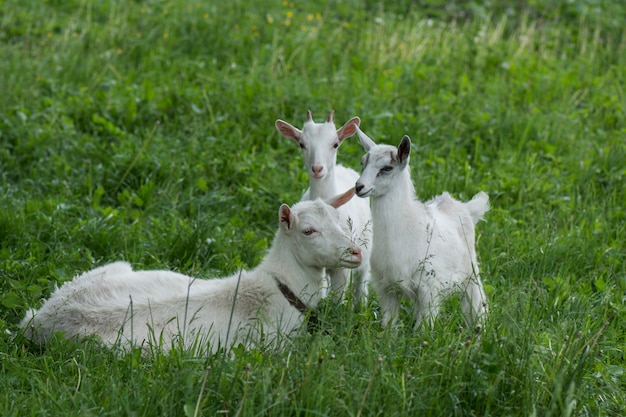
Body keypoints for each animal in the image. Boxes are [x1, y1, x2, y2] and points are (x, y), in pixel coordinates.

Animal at [274, 110, 370, 304]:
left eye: (335, 144)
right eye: (302, 144)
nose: (317, 169)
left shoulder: (343, 265)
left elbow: (339, 298)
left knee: (362, 280)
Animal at [352, 127, 488, 328]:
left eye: (387, 168)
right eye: (362, 163)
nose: (359, 187)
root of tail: (465, 207)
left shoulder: (429, 288)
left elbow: (424, 327)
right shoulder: (387, 288)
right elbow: (389, 324)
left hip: (470, 271)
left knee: (478, 303)